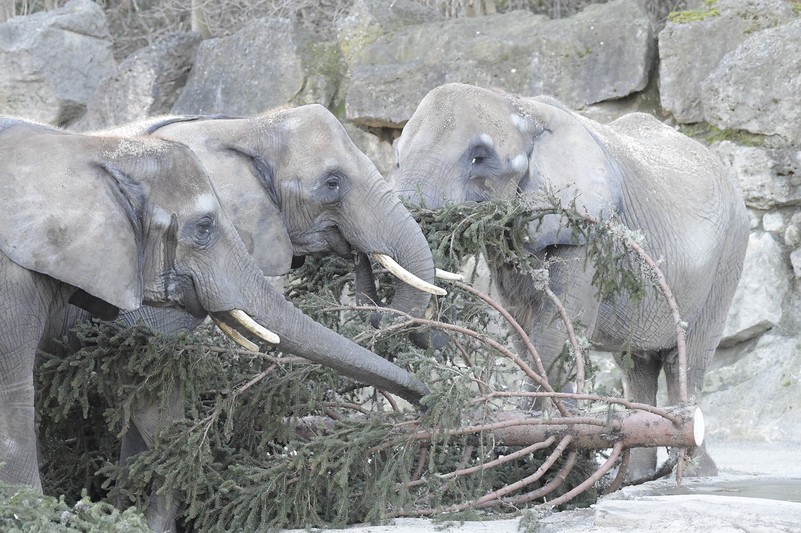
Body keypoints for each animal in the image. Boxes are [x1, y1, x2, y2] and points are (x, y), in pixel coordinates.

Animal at [392, 84, 752, 482]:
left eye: (479, 157)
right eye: (396, 160)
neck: (524, 107)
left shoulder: (587, 228)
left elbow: (556, 331)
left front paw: (543, 450)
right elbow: (524, 332)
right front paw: (552, 450)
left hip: (728, 256)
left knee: (684, 358)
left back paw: (693, 471)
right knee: (637, 364)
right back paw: (633, 475)